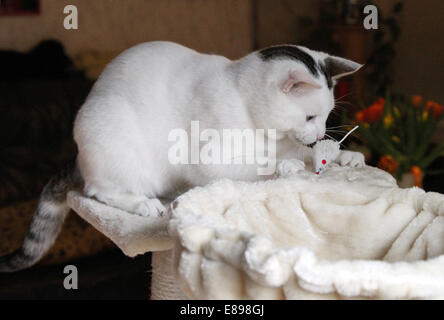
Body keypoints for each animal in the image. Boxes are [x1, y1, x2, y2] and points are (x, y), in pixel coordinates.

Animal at [0, 41, 364, 272]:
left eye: (327, 116)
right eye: (309, 116)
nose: (320, 133)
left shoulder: (288, 142)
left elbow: (307, 154)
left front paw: (344, 157)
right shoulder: (209, 156)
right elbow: (257, 163)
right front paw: (285, 165)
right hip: (111, 137)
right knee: (97, 190)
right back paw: (143, 204)